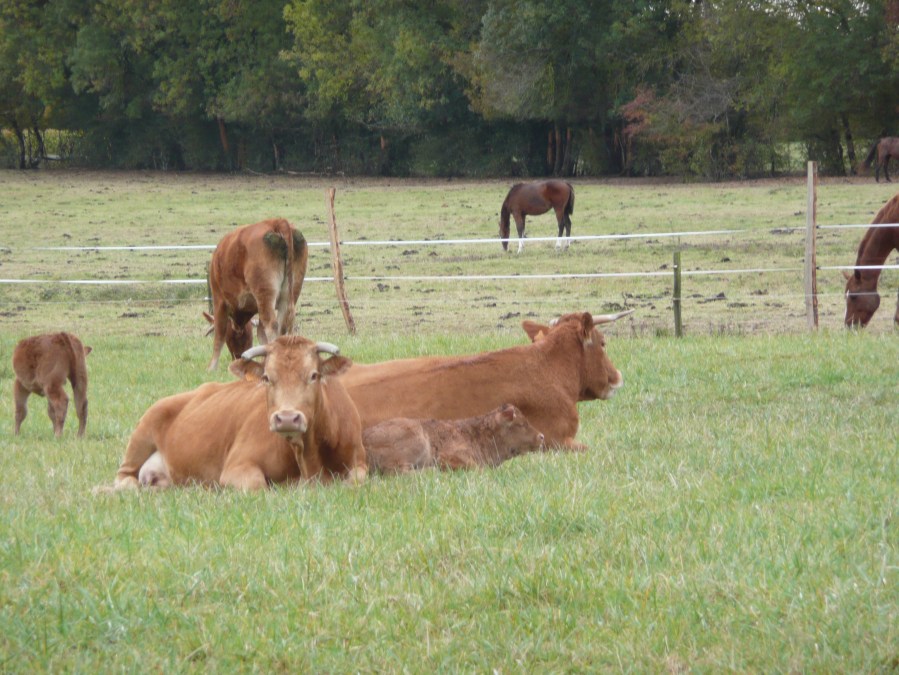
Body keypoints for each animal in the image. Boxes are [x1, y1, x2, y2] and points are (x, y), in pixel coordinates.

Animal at [101, 335, 367, 491]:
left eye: (314, 375)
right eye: (267, 377)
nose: (287, 418)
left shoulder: (359, 462)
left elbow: (355, 480)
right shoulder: (237, 466)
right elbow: (258, 486)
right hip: (142, 434)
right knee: (124, 477)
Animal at [206, 218, 308, 370]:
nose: (238, 358)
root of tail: (276, 222)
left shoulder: (219, 301)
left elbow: (219, 336)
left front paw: (212, 368)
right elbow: (261, 334)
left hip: (264, 294)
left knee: (272, 326)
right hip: (290, 293)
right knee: (282, 326)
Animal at [363, 404, 545, 474]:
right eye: (521, 424)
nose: (541, 436)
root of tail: (364, 440)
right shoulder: (451, 455)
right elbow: (476, 467)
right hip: (417, 439)